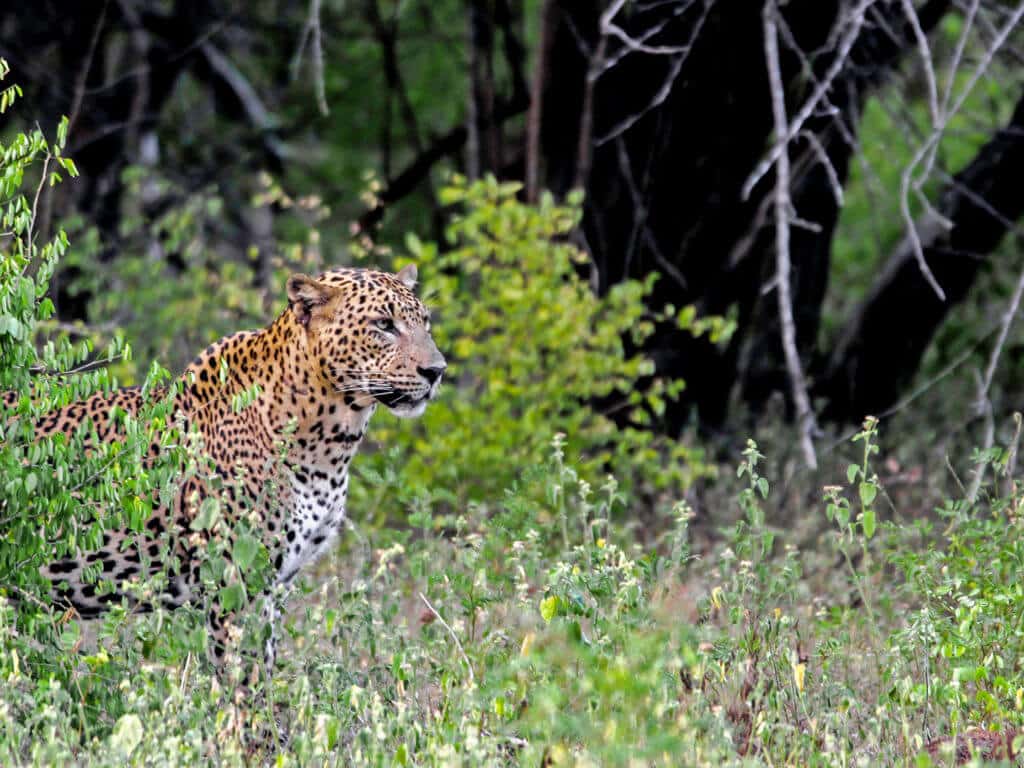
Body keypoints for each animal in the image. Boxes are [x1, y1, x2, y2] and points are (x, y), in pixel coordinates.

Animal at [6, 264, 445, 673]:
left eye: (425, 322)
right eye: (384, 325)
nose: (437, 371)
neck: (332, 442)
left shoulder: (278, 583)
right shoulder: (236, 582)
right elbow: (245, 682)